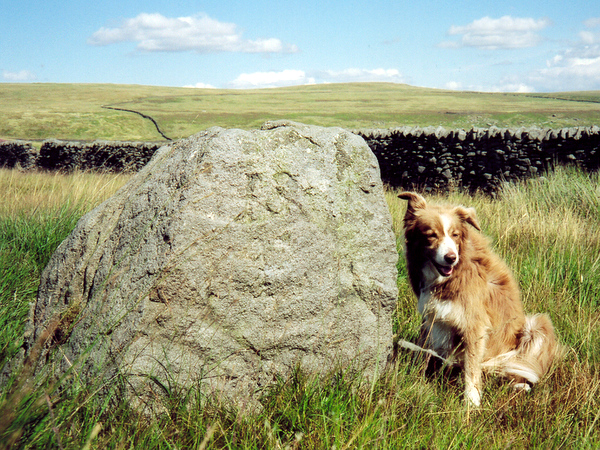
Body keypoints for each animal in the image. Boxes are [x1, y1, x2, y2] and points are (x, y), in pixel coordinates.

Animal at [398, 192, 556, 406]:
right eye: (431, 234)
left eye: (455, 235)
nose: (450, 258)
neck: (452, 276)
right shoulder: (435, 318)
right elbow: (429, 350)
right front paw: (420, 378)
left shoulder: (474, 324)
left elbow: (471, 366)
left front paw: (471, 402)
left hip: (537, 325)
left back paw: (518, 384)